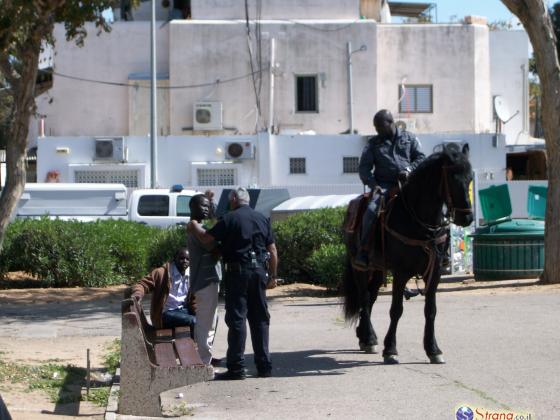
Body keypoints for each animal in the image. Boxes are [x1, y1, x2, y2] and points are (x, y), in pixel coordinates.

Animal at [342, 143, 472, 362]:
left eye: (470, 178)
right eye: (453, 178)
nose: (468, 218)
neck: (418, 221)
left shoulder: (434, 273)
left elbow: (431, 310)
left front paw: (433, 349)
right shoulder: (401, 272)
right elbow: (396, 310)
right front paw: (390, 350)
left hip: (378, 269)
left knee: (371, 297)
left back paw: (365, 336)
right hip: (359, 267)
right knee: (364, 298)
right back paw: (369, 338)